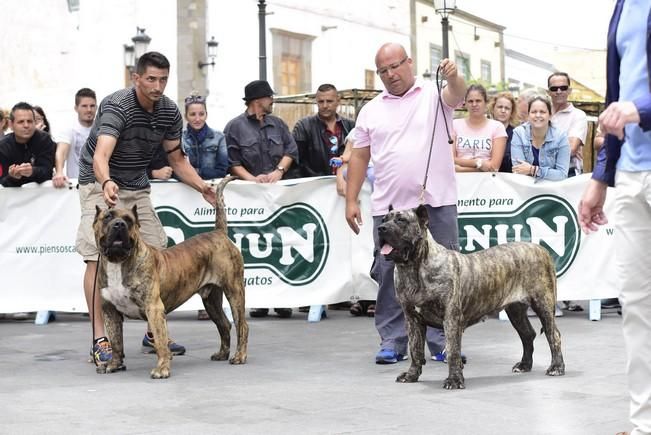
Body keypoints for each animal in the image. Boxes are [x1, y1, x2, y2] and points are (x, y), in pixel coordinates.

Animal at [94, 175, 250, 380]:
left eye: (129, 220)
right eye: (107, 218)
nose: (119, 224)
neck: (118, 262)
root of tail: (220, 233)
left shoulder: (153, 308)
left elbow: (160, 341)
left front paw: (162, 369)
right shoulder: (110, 311)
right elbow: (116, 341)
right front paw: (114, 364)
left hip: (234, 290)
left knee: (241, 325)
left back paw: (239, 356)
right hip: (211, 300)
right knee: (224, 325)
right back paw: (222, 354)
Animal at [376, 206, 564, 390]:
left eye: (401, 220)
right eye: (384, 219)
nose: (381, 228)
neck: (414, 268)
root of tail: (541, 249)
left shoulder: (451, 318)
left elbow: (452, 351)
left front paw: (454, 380)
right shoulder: (413, 319)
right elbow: (415, 350)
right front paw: (411, 375)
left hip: (543, 304)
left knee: (553, 334)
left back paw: (556, 367)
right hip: (515, 310)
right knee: (527, 335)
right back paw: (524, 365)